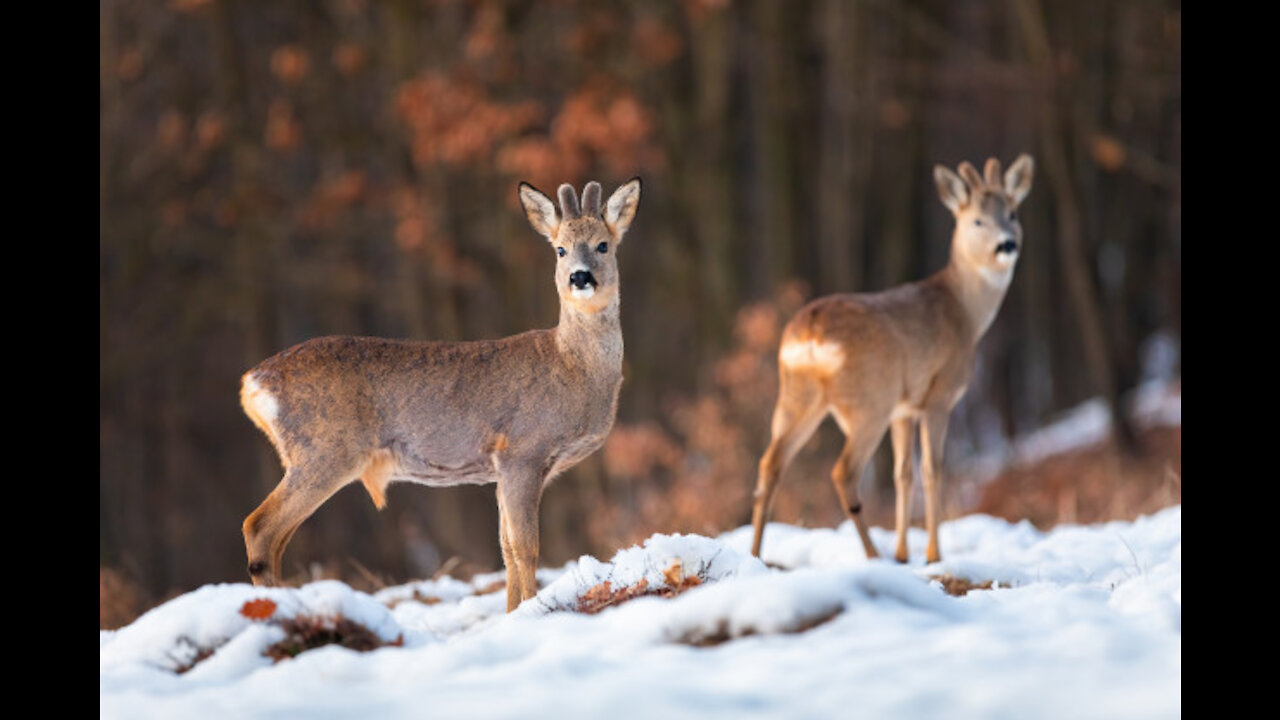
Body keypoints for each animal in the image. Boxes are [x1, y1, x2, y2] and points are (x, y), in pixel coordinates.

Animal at [238, 176, 640, 607]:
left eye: (603, 244)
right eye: (560, 248)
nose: (580, 277)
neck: (572, 367)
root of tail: (252, 382)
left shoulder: (501, 467)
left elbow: (505, 549)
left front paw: (512, 612)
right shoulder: (522, 450)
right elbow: (525, 548)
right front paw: (529, 610)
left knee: (276, 537)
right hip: (326, 448)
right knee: (259, 526)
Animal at [747, 154, 1029, 563]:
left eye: (1012, 212)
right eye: (977, 220)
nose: (1007, 244)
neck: (965, 311)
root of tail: (812, 334)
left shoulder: (903, 410)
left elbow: (902, 474)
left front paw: (902, 552)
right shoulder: (939, 395)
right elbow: (931, 470)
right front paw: (932, 554)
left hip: (797, 397)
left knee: (771, 462)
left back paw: (755, 554)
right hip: (868, 401)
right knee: (843, 472)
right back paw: (872, 555)